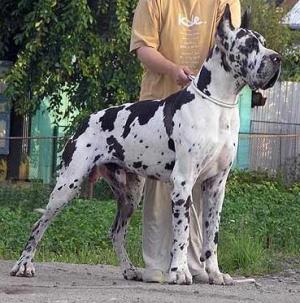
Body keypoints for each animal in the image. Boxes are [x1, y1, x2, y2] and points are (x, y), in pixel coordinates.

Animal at [9, 5, 282, 286]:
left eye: (263, 42)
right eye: (249, 45)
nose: (277, 58)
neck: (217, 105)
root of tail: (85, 119)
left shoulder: (216, 186)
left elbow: (212, 237)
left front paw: (215, 273)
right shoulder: (183, 183)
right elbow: (182, 234)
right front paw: (179, 272)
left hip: (130, 195)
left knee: (116, 232)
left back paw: (130, 270)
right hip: (67, 185)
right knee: (38, 225)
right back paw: (24, 265)